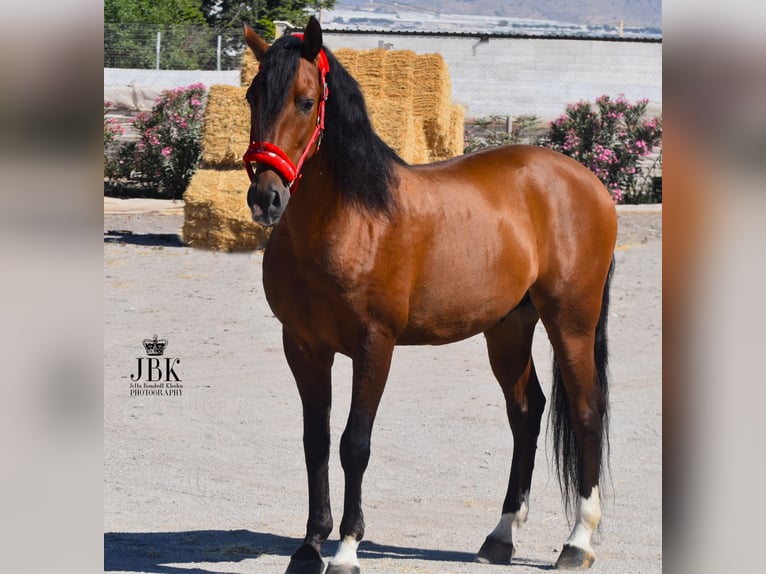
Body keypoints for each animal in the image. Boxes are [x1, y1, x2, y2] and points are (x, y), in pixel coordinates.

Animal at [243, 15, 620, 572]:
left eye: (306, 101)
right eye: (252, 96)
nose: (266, 198)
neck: (351, 218)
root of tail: (589, 182)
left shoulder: (374, 345)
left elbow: (355, 444)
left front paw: (347, 549)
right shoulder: (304, 347)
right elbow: (316, 442)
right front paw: (309, 548)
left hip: (571, 322)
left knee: (586, 411)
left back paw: (577, 542)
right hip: (508, 329)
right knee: (527, 412)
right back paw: (500, 536)